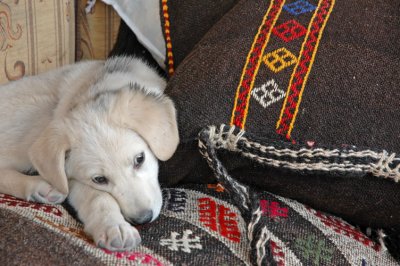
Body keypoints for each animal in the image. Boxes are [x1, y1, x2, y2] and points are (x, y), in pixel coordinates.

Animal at [0, 56, 179, 251]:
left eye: (140, 159)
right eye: (99, 179)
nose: (143, 219)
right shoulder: (73, 179)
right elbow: (98, 198)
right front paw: (114, 227)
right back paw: (39, 187)